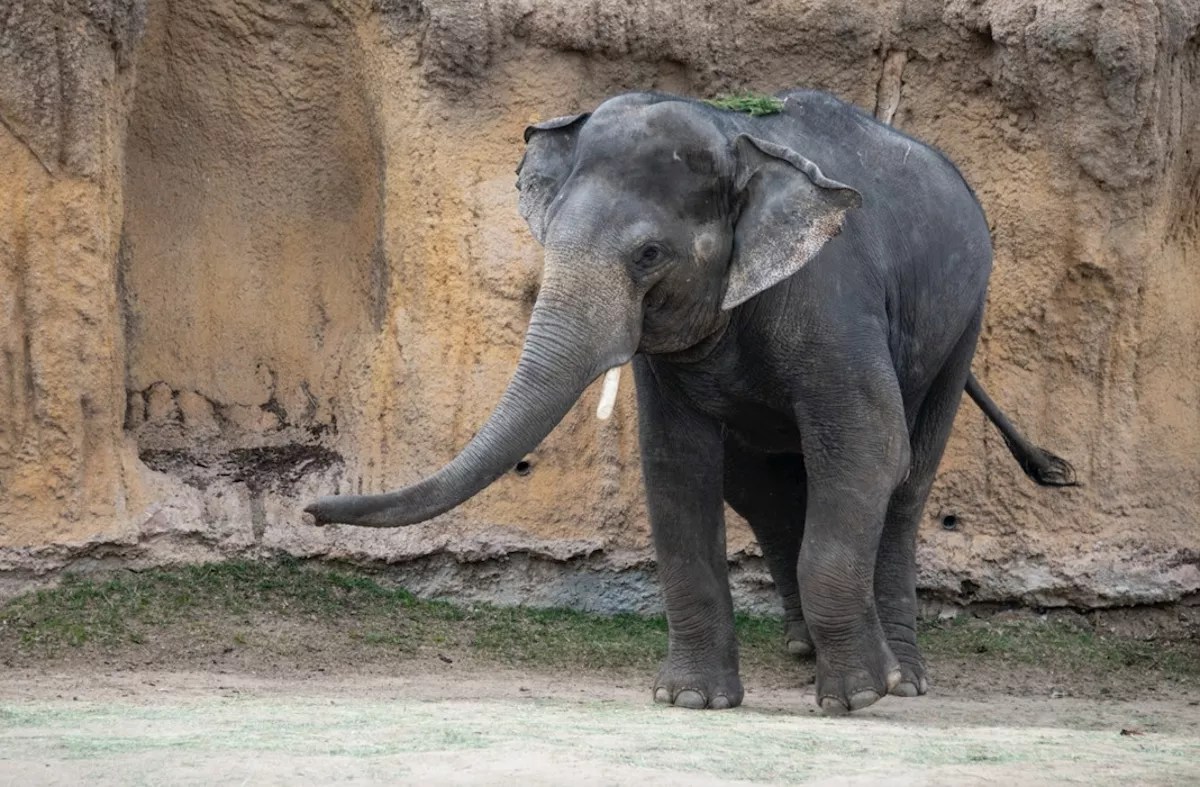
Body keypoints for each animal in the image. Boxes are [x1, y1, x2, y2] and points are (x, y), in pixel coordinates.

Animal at [305, 89, 1075, 714]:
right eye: (549, 236)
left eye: (649, 255)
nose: (311, 510)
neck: (738, 135)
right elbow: (675, 468)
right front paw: (692, 700)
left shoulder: (835, 303)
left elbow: (867, 447)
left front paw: (856, 696)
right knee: (763, 488)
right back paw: (804, 651)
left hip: (964, 320)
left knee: (907, 481)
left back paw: (902, 679)